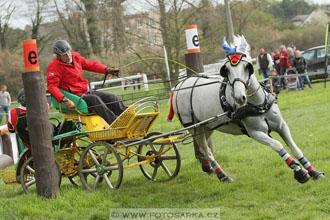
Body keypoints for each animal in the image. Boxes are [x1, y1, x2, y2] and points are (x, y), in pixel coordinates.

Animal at [171, 36, 324, 183]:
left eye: (247, 67)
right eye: (227, 69)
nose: (240, 97)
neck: (258, 104)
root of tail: (179, 85)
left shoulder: (281, 125)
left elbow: (295, 148)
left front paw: (313, 171)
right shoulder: (255, 133)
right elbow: (278, 144)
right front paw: (299, 171)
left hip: (207, 127)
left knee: (205, 149)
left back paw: (207, 166)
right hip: (195, 127)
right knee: (206, 150)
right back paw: (223, 175)